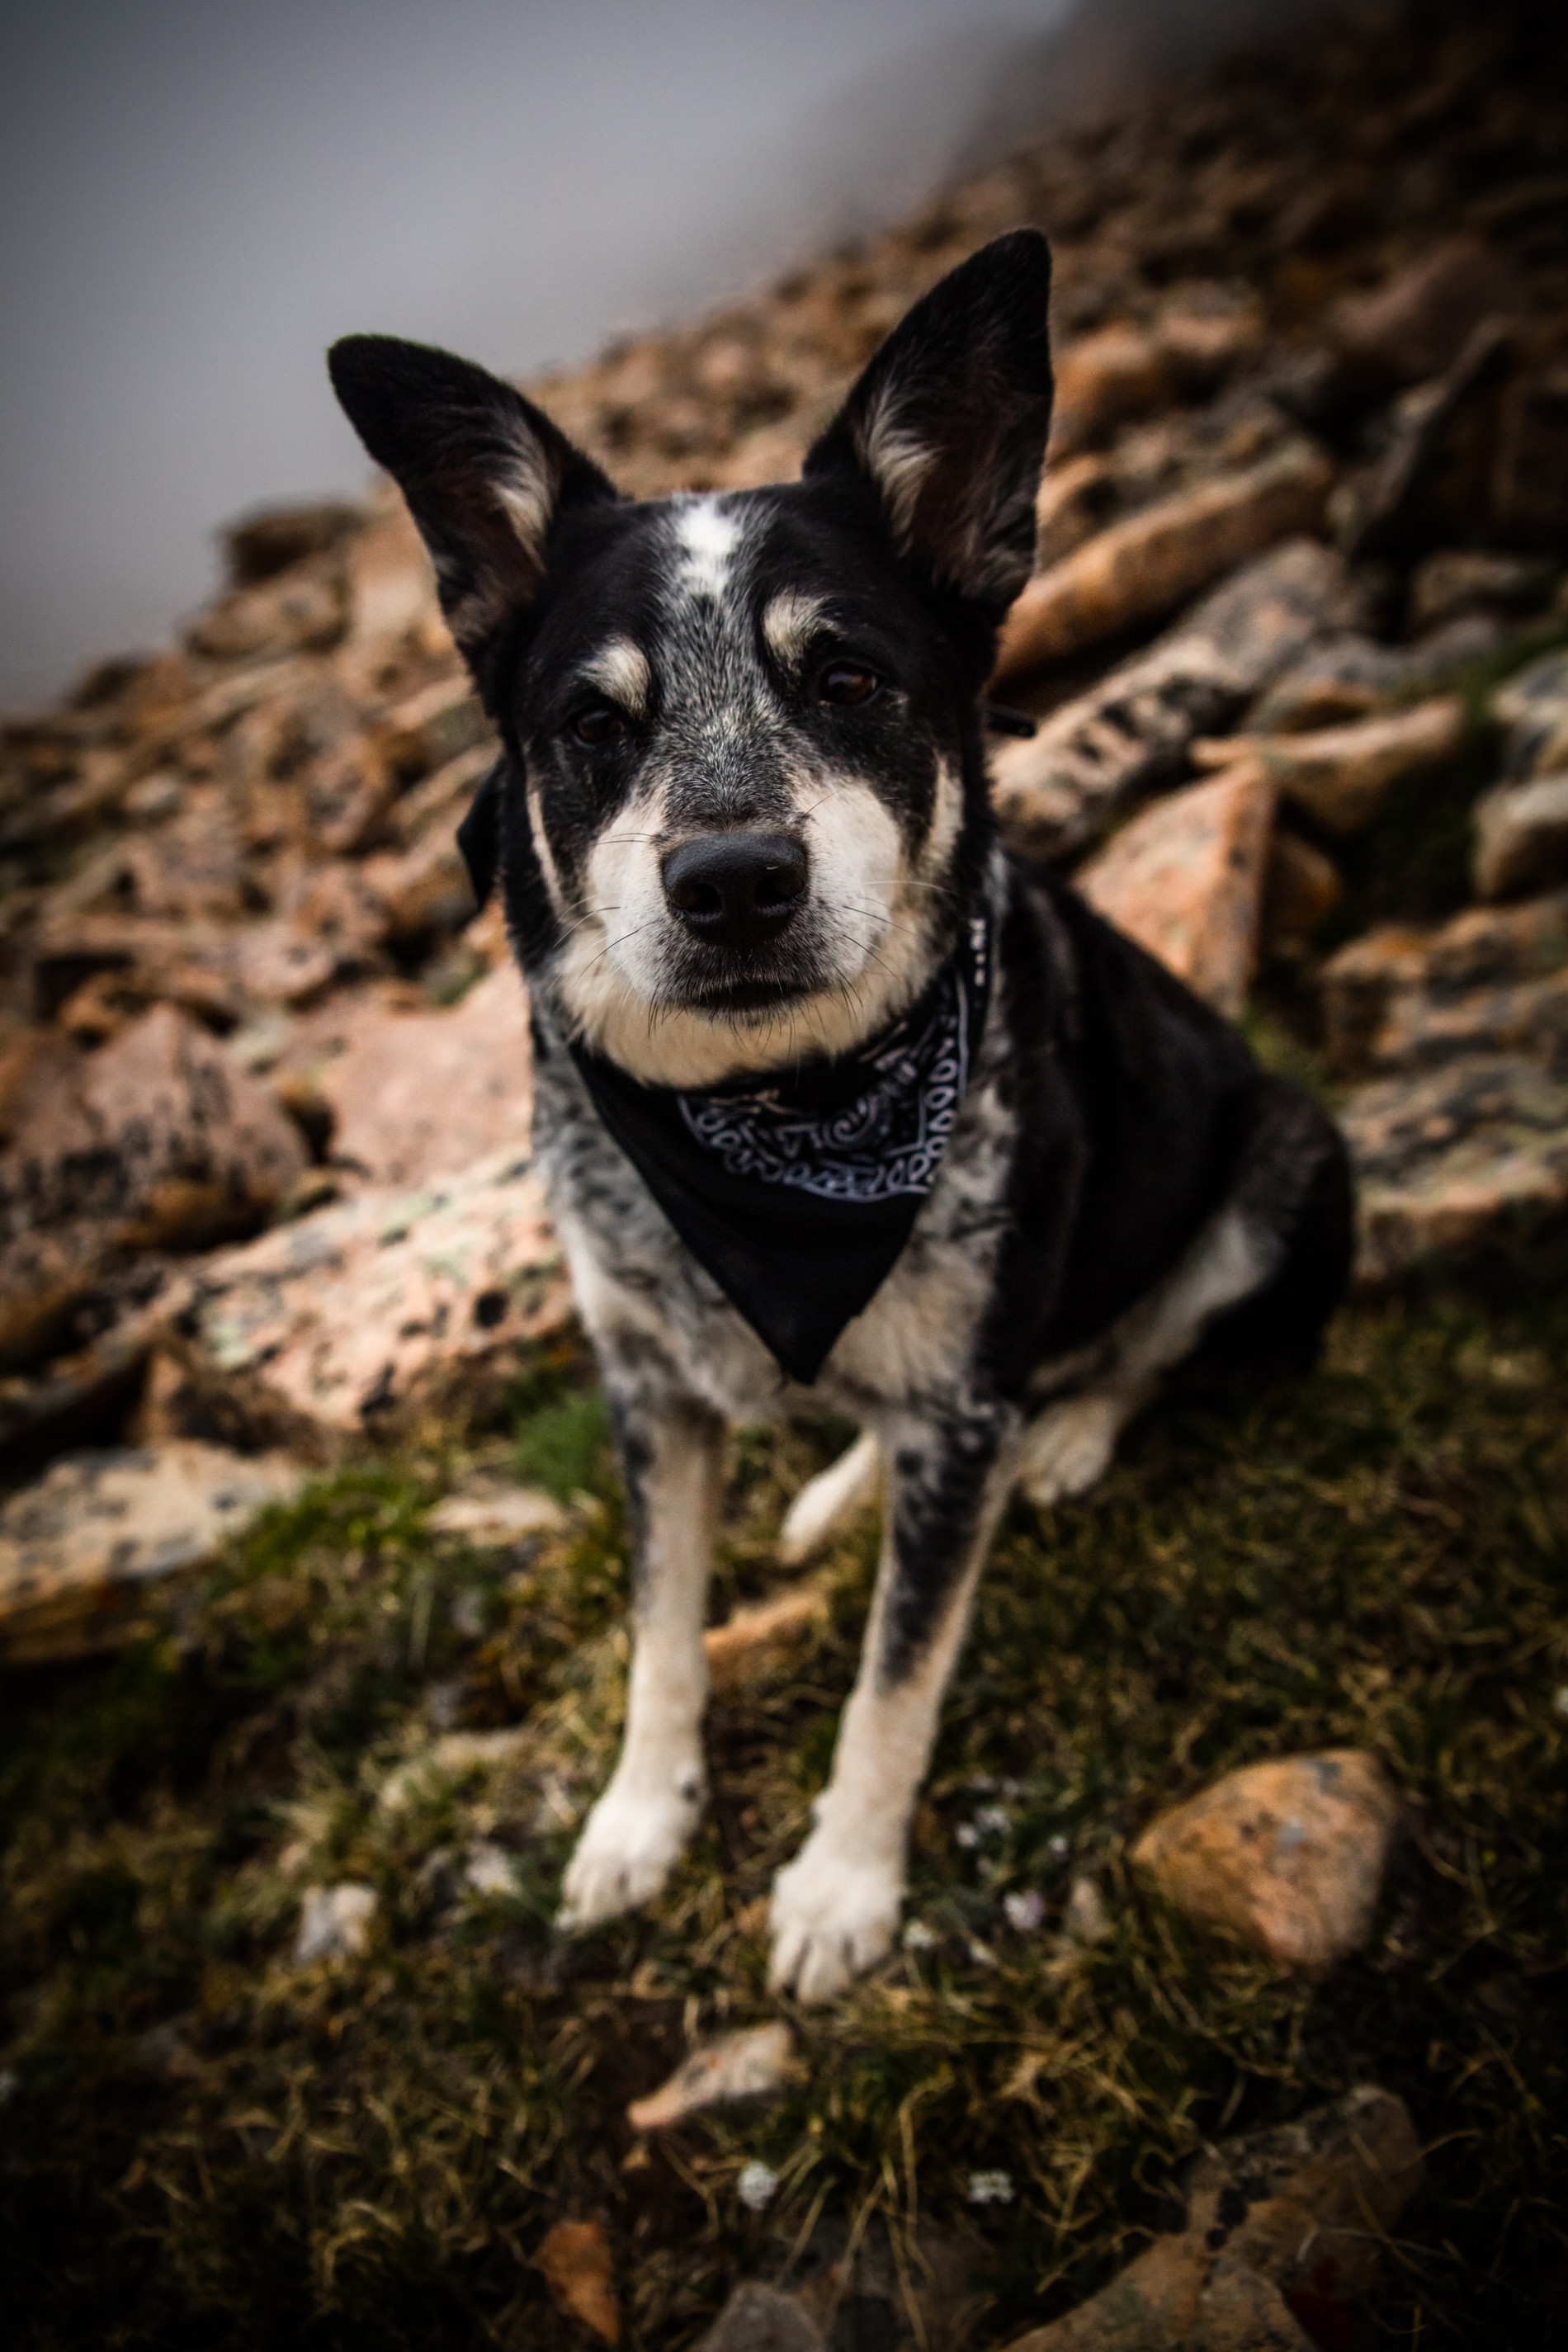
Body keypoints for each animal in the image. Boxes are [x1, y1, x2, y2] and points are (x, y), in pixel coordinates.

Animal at [328, 234, 1353, 2004]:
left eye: (851, 677)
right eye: (594, 724)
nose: (734, 882)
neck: (773, 1118)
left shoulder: (955, 1400)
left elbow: (896, 1682)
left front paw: (840, 1888)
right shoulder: (648, 1388)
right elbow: (660, 1637)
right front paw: (634, 1824)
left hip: (1292, 1156)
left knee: (1144, 1343)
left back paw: (1065, 1438)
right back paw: (838, 1492)